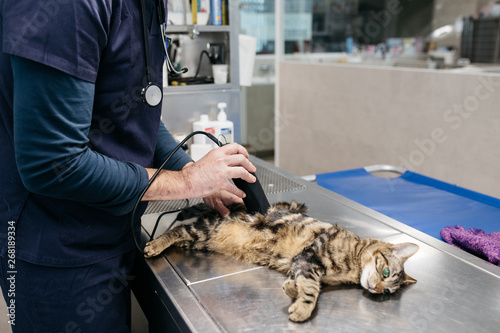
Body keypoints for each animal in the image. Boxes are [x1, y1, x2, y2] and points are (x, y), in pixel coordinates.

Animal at [145, 201, 418, 320]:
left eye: (387, 293)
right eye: (385, 273)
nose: (377, 289)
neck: (350, 269)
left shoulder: (304, 265)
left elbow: (306, 283)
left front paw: (291, 288)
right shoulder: (309, 258)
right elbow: (311, 288)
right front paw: (303, 307)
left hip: (201, 240)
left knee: (182, 235)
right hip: (205, 230)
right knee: (177, 230)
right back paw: (154, 245)